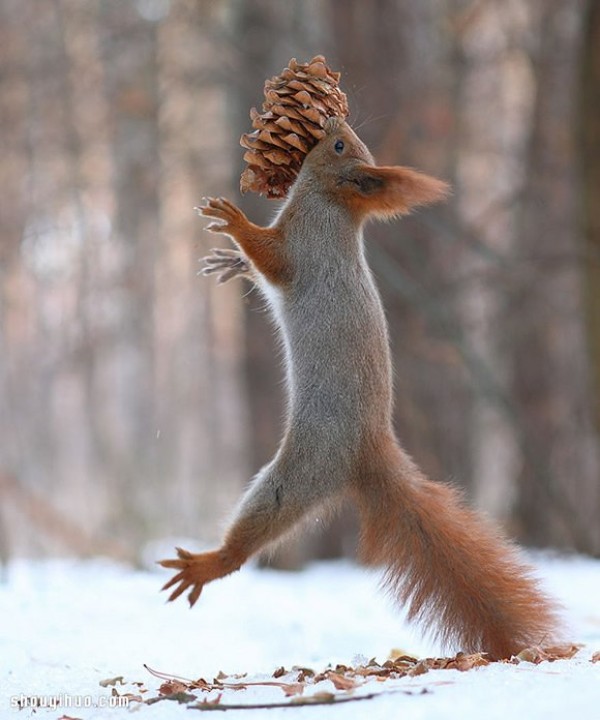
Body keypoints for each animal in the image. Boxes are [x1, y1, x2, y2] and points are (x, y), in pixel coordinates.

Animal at [159, 116, 556, 660]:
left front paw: (234, 222)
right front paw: (229, 262)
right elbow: (258, 267)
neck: (329, 206)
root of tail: (370, 449)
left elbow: (271, 258)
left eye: (340, 145)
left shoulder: (305, 249)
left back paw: (209, 562)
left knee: (261, 522)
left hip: (301, 471)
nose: (332, 119)